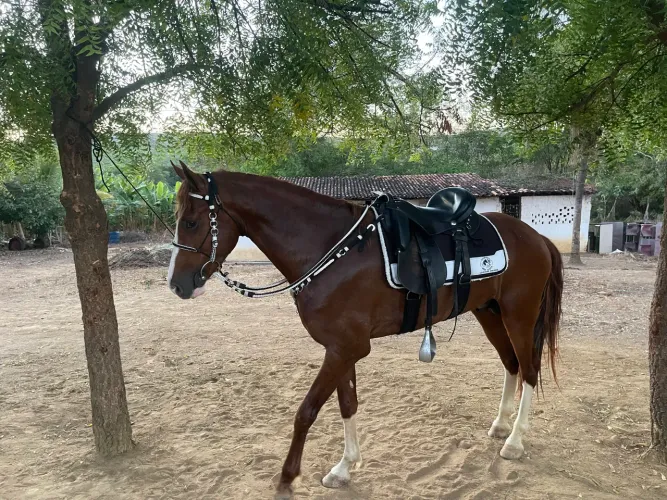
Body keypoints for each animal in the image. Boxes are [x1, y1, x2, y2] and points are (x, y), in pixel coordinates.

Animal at [167, 162, 563, 498]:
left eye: (190, 222)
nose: (177, 285)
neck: (330, 249)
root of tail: (536, 237)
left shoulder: (345, 349)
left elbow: (306, 411)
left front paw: (286, 478)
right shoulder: (341, 348)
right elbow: (347, 404)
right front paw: (344, 469)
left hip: (519, 316)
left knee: (529, 369)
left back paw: (514, 442)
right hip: (489, 313)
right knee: (511, 364)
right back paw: (500, 426)